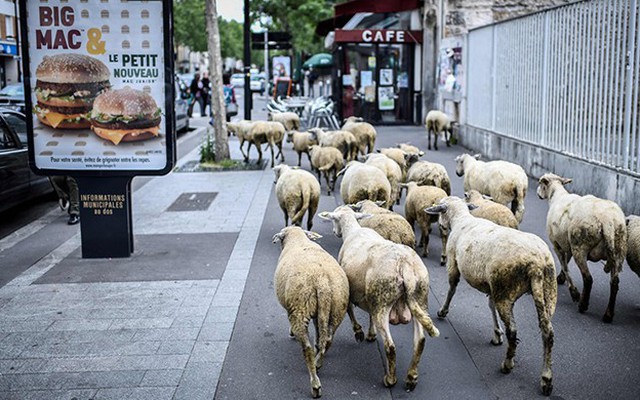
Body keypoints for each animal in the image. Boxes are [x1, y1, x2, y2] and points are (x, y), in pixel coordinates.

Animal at [272, 227, 350, 398]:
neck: (298, 239)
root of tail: (322, 281)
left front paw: (291, 332)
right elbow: (318, 330)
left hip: (300, 307)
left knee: (306, 348)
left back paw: (315, 384)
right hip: (337, 307)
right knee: (328, 338)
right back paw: (318, 361)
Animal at [318, 206, 440, 390]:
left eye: (333, 219)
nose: (334, 232)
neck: (353, 230)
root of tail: (404, 265)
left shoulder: (349, 289)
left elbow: (350, 310)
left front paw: (359, 332)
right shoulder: (370, 297)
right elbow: (368, 315)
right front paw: (370, 334)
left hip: (383, 300)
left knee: (390, 346)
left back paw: (390, 379)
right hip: (419, 298)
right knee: (420, 341)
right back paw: (411, 378)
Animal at [428, 195, 556, 396]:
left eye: (441, 209)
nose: (440, 225)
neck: (462, 219)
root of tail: (535, 264)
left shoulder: (454, 263)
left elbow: (452, 288)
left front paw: (443, 311)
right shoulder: (491, 286)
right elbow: (490, 306)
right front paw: (496, 334)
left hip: (506, 289)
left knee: (513, 331)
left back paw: (507, 364)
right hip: (547, 291)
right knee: (547, 332)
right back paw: (546, 379)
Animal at [536, 173, 632, 322]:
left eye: (541, 183)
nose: (538, 193)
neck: (557, 196)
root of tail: (607, 222)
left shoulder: (557, 245)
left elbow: (565, 265)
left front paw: (573, 292)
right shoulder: (567, 244)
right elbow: (566, 262)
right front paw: (561, 278)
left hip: (580, 247)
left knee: (588, 278)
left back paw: (582, 304)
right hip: (619, 249)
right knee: (615, 282)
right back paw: (608, 315)